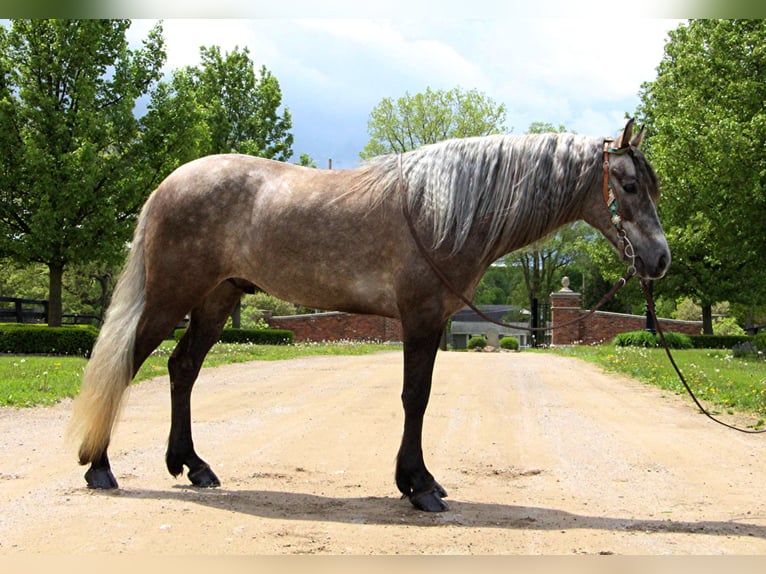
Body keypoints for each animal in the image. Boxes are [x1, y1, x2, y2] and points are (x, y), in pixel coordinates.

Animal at [70, 119, 672, 516]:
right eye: (630, 185)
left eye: (652, 185)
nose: (660, 260)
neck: (447, 209)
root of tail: (167, 186)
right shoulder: (421, 316)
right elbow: (416, 397)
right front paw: (419, 487)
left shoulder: (433, 319)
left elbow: (419, 395)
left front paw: (419, 482)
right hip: (172, 297)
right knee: (127, 365)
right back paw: (100, 468)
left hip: (217, 300)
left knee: (183, 369)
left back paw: (194, 466)